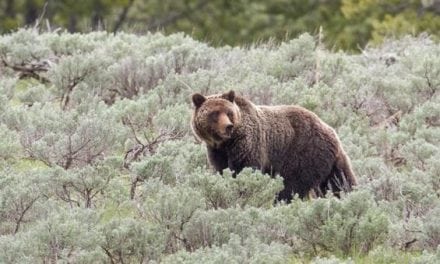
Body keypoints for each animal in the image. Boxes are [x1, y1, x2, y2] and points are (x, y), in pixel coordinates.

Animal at [191, 89, 356, 201]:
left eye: (229, 112)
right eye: (214, 113)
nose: (228, 126)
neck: (226, 143)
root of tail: (331, 131)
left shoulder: (249, 145)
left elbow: (244, 170)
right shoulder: (217, 152)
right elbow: (222, 170)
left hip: (304, 153)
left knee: (292, 186)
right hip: (330, 162)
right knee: (340, 181)